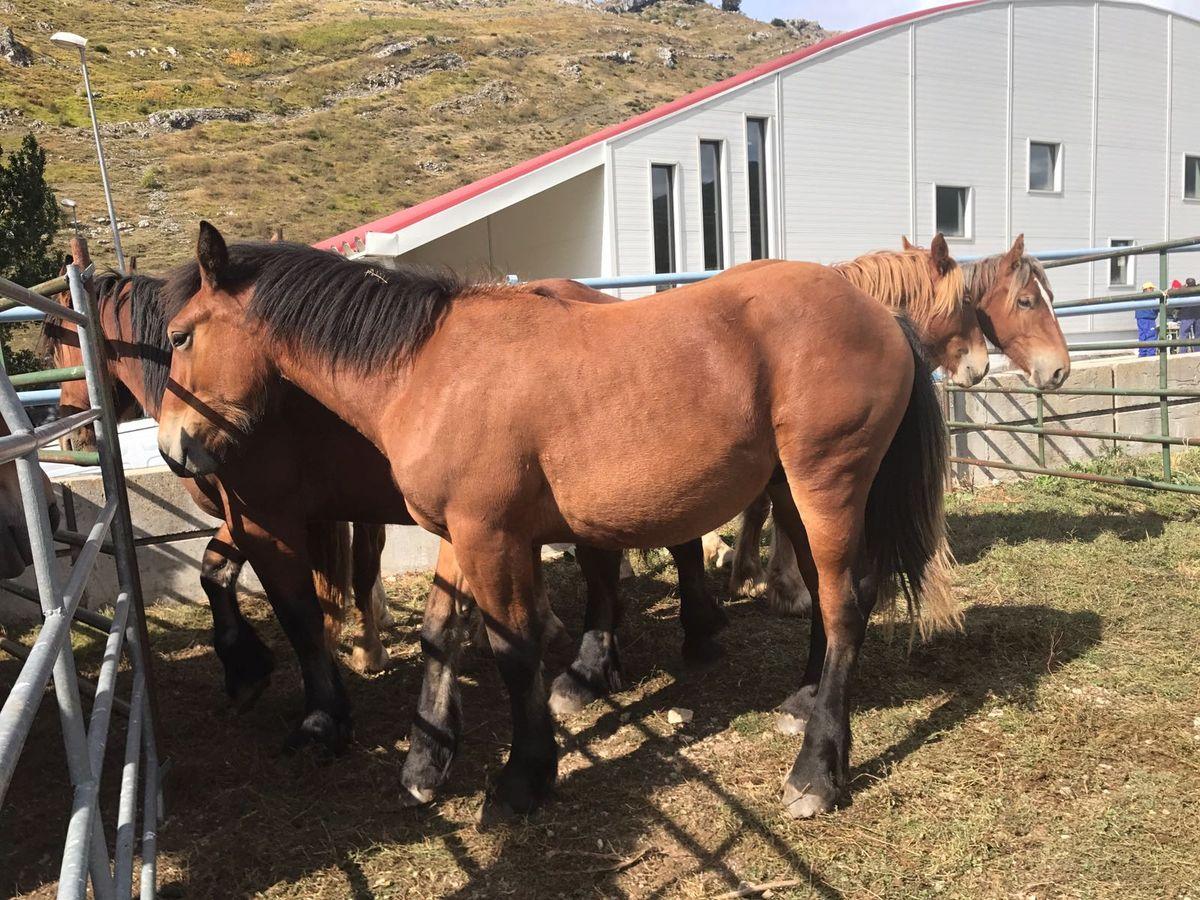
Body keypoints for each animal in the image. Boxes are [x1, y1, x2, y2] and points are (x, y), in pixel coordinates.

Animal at [159, 224, 960, 816]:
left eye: (179, 336)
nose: (174, 448)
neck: (430, 369)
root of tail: (879, 313)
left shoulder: (491, 537)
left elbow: (512, 650)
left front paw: (524, 776)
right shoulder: (460, 536)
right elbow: (442, 635)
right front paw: (426, 762)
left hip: (827, 483)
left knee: (847, 601)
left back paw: (817, 769)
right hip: (793, 490)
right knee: (827, 599)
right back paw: (802, 700)